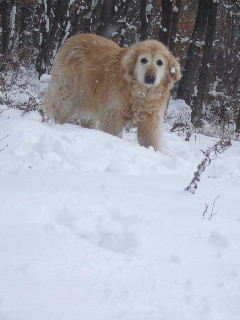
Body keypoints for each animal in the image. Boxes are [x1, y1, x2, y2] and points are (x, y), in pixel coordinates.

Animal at [43, 33, 180, 151]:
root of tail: (75, 37)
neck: (140, 93)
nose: (150, 77)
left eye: (159, 62)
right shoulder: (114, 113)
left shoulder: (150, 120)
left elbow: (150, 139)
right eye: (143, 60)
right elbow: (113, 130)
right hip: (67, 93)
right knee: (59, 109)